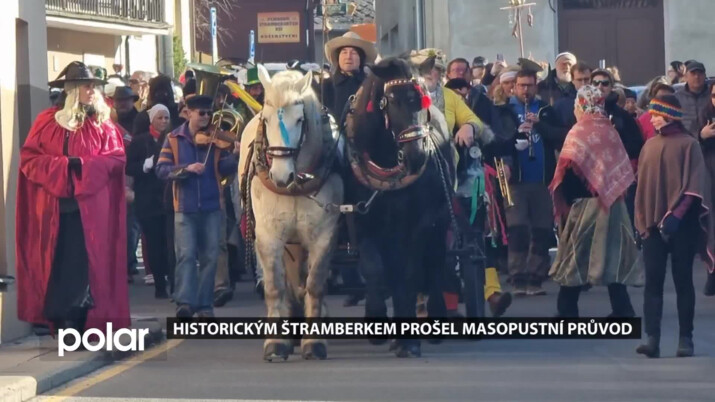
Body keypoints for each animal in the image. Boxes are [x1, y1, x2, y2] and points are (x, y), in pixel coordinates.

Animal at [238, 66, 344, 362]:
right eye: (266, 118)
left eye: (300, 120)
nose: (280, 176)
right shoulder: (268, 235)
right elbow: (275, 285)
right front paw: (276, 342)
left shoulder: (324, 233)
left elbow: (315, 284)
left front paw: (314, 342)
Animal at [344, 57, 456, 358]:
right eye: (391, 101)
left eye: (423, 99)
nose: (417, 156)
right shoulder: (362, 220)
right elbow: (375, 268)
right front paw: (376, 320)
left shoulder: (421, 221)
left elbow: (410, 272)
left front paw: (409, 341)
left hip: (441, 219)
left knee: (435, 262)